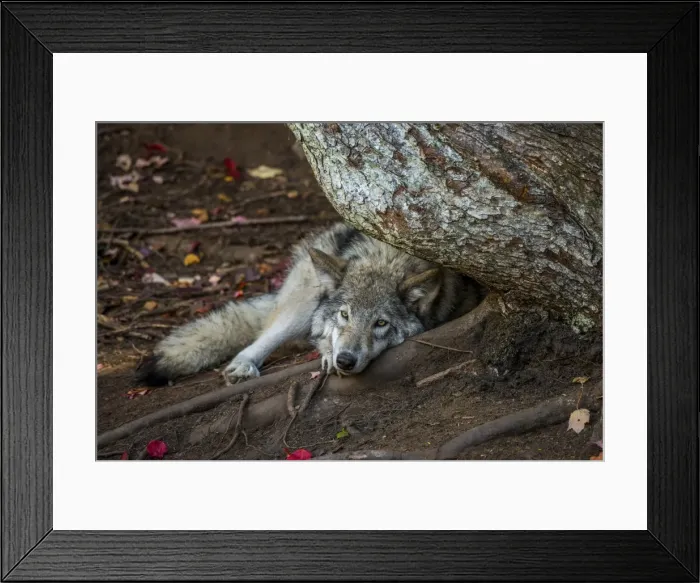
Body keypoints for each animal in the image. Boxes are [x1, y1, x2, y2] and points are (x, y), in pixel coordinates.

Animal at [136, 222, 483, 386]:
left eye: (381, 323)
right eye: (345, 315)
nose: (345, 360)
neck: (387, 257)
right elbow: (322, 336)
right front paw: (328, 352)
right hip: (301, 304)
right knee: (269, 334)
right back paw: (243, 366)